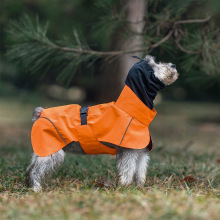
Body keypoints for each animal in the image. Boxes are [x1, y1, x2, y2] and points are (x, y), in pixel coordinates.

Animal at [25, 55, 179, 191]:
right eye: (154, 65)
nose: (173, 65)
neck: (130, 110)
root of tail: (40, 113)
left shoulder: (141, 152)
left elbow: (140, 172)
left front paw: (140, 187)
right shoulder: (127, 151)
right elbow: (127, 171)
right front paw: (125, 187)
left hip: (42, 151)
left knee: (30, 167)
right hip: (51, 151)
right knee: (35, 171)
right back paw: (36, 188)